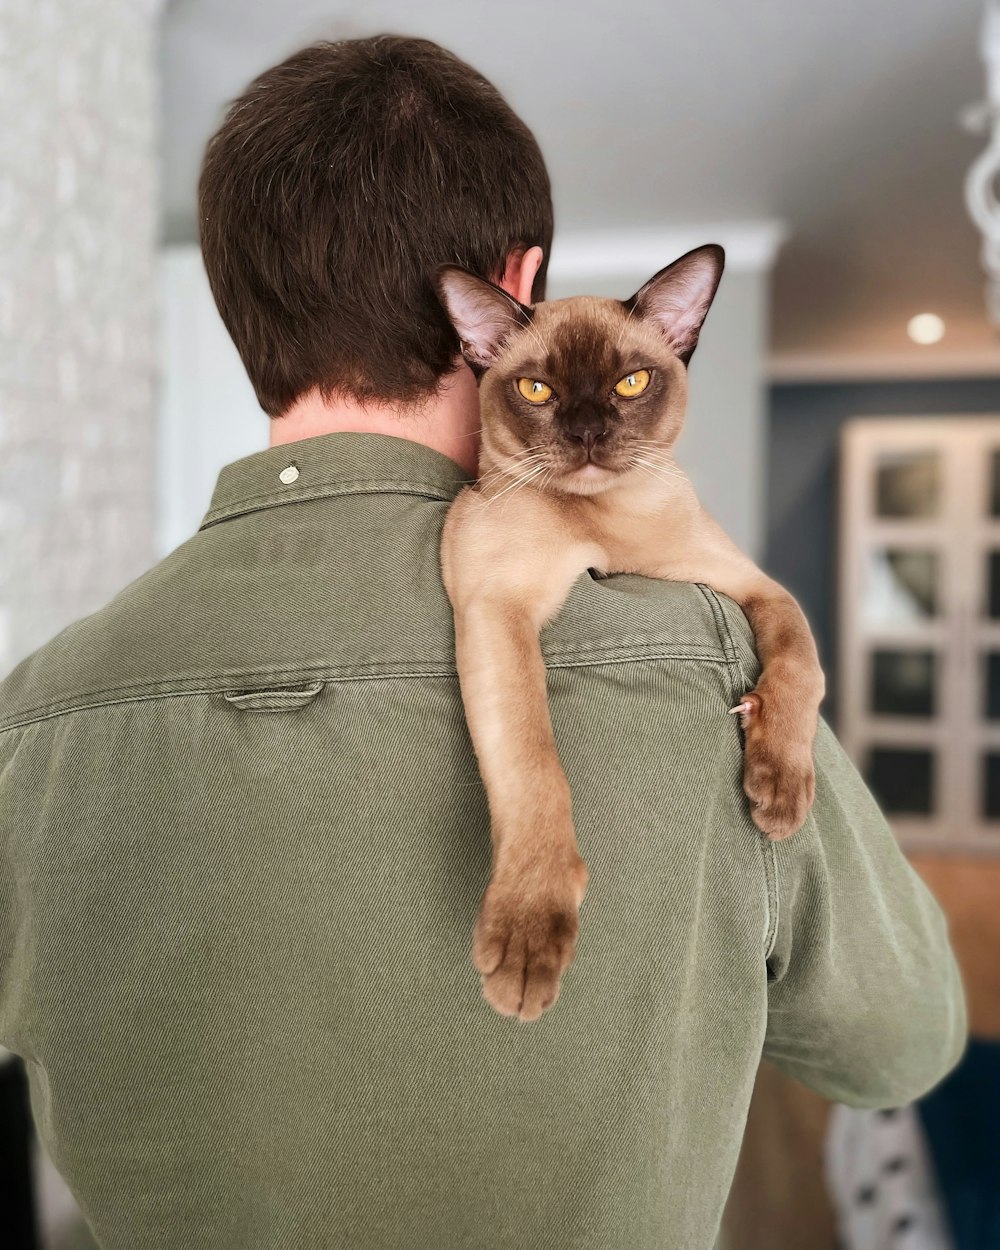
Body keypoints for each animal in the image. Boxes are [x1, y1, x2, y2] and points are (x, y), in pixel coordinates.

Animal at [435, 238, 820, 1020]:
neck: (604, 525)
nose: (586, 433)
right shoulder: (498, 608)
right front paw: (528, 945)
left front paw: (778, 796)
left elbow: (801, 663)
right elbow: (536, 768)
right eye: (538, 391)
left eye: (632, 382)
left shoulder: (755, 587)